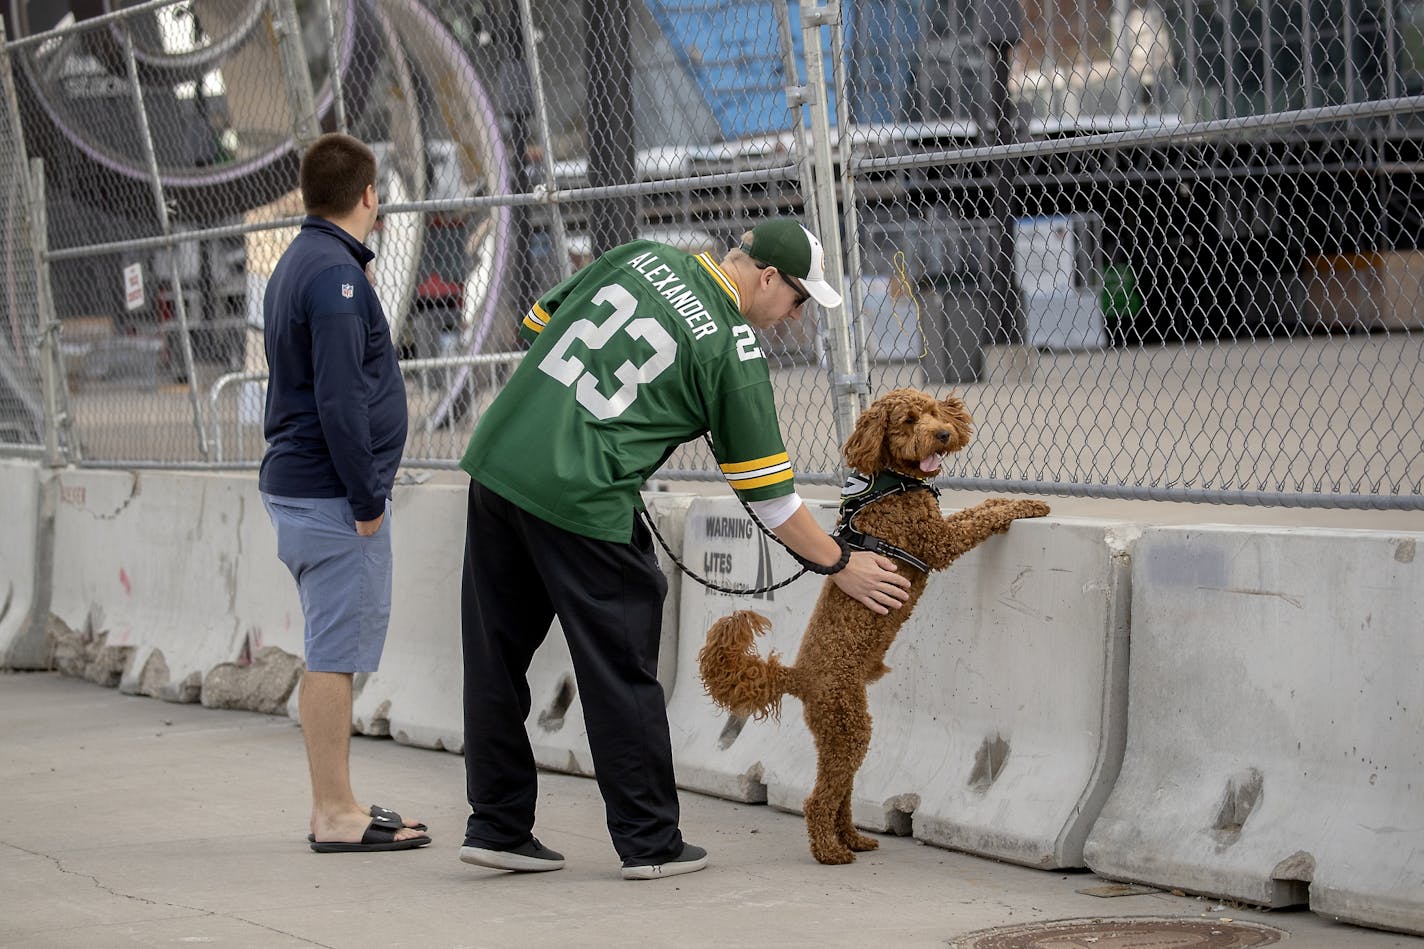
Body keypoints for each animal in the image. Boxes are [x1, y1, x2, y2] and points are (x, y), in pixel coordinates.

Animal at [694, 387, 1053, 866]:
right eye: (908, 420)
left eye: (935, 412)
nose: (943, 434)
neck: (893, 482)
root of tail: (799, 676)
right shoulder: (938, 542)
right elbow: (979, 517)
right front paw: (1029, 504)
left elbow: (983, 506)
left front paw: (1012, 500)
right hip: (849, 726)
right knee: (820, 798)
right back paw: (830, 851)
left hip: (838, 733)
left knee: (841, 791)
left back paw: (852, 838)